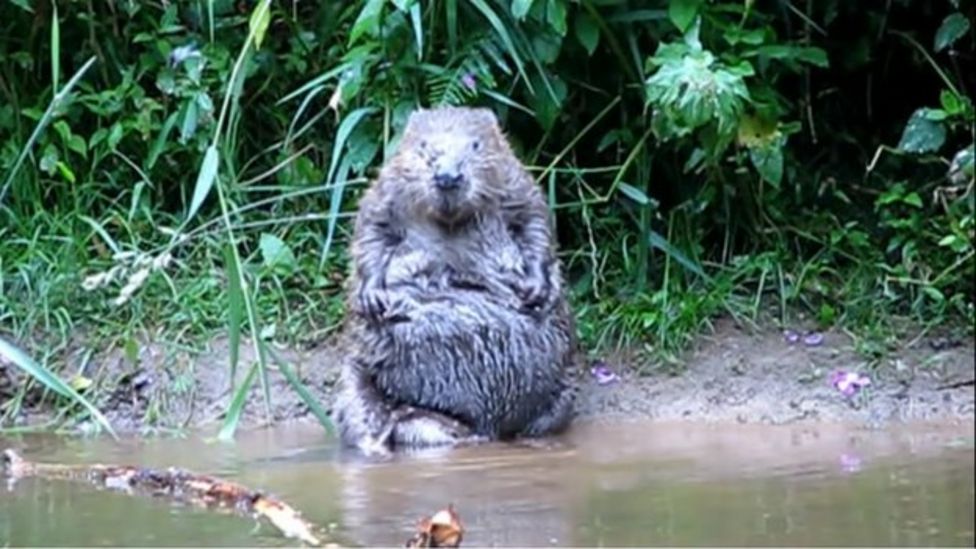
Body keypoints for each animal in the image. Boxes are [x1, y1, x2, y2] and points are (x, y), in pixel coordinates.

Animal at [334, 106, 580, 454]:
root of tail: (487, 426)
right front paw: (375, 298)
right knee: (367, 417)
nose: (447, 177)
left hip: (565, 385)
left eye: (475, 144)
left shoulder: (517, 182)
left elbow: (536, 223)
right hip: (357, 382)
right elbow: (369, 231)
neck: (450, 223)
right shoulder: (384, 191)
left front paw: (533, 290)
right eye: (423, 146)